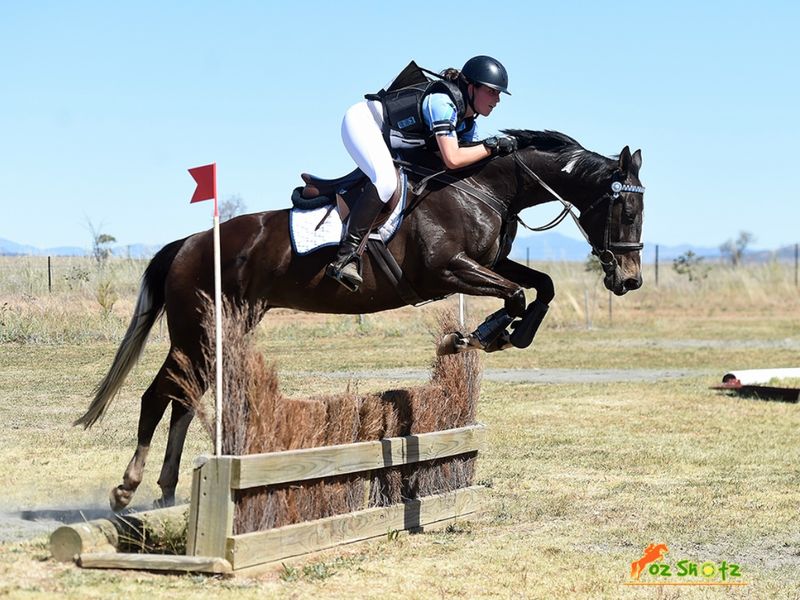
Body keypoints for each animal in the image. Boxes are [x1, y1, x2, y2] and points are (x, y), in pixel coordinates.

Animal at [75, 129, 645, 510]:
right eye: (627, 211)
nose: (630, 280)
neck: (484, 187)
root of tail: (190, 241)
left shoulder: (488, 263)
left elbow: (539, 286)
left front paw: (497, 335)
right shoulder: (448, 269)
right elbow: (517, 294)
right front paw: (480, 336)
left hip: (223, 329)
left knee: (184, 398)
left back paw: (168, 489)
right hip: (196, 327)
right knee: (159, 397)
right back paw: (127, 487)